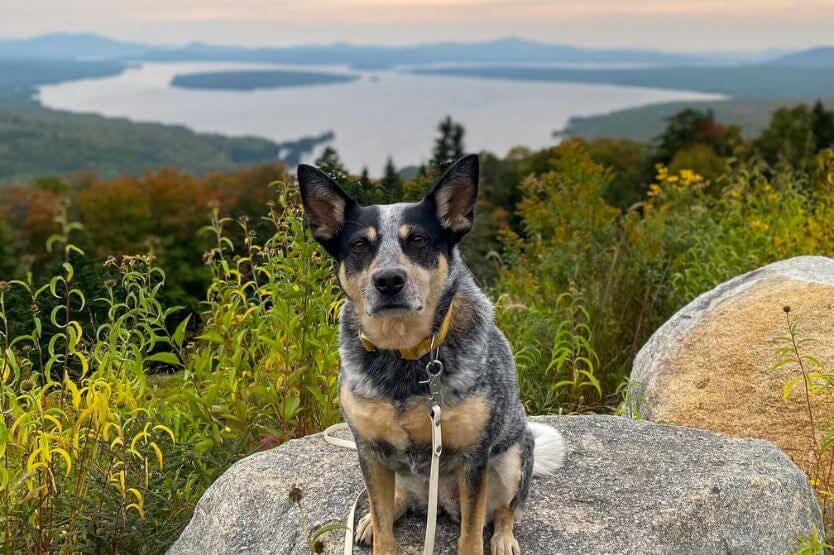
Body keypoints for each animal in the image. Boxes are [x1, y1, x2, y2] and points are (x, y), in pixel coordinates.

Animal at [296, 154, 564, 552]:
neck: (404, 353)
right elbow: (383, 523)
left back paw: (503, 538)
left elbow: (471, 535)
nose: (388, 280)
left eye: (419, 240)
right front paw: (378, 527)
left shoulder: (474, 460)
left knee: (504, 510)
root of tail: (443, 504)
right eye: (359, 245)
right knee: (399, 501)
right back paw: (372, 520)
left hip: (513, 460)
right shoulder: (370, 452)